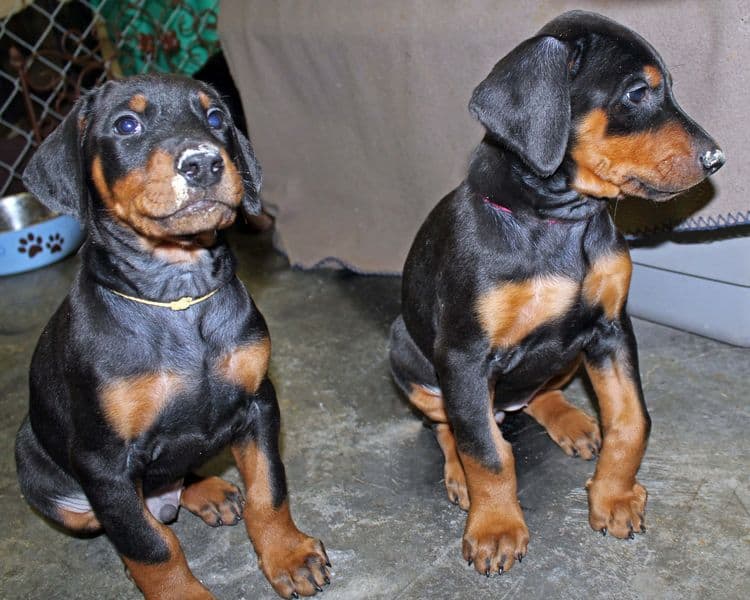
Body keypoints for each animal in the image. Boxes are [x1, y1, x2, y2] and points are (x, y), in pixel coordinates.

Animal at [14, 75, 330, 600]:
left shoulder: (258, 403)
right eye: (126, 124)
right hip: (38, 467)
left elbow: (269, 488)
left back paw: (209, 491)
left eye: (216, 117)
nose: (202, 162)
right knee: (136, 519)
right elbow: (150, 546)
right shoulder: (103, 463)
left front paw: (288, 555)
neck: (179, 296)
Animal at [390, 10, 724, 576]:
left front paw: (615, 496)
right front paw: (495, 528)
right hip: (406, 354)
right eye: (637, 94)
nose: (717, 158)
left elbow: (631, 420)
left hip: (567, 356)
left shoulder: (610, 328)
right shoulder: (463, 355)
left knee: (538, 392)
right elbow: (486, 452)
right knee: (451, 425)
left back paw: (571, 421)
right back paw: (459, 472)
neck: (559, 220)